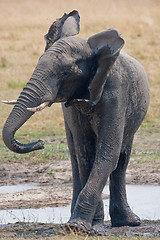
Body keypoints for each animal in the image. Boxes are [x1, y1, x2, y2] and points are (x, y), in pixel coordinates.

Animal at [2, 10, 150, 234]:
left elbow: (107, 154)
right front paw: (88, 225)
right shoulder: (71, 108)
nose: (40, 143)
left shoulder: (117, 93)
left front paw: (79, 226)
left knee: (122, 158)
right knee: (75, 155)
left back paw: (129, 222)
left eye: (64, 73)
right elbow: (85, 154)